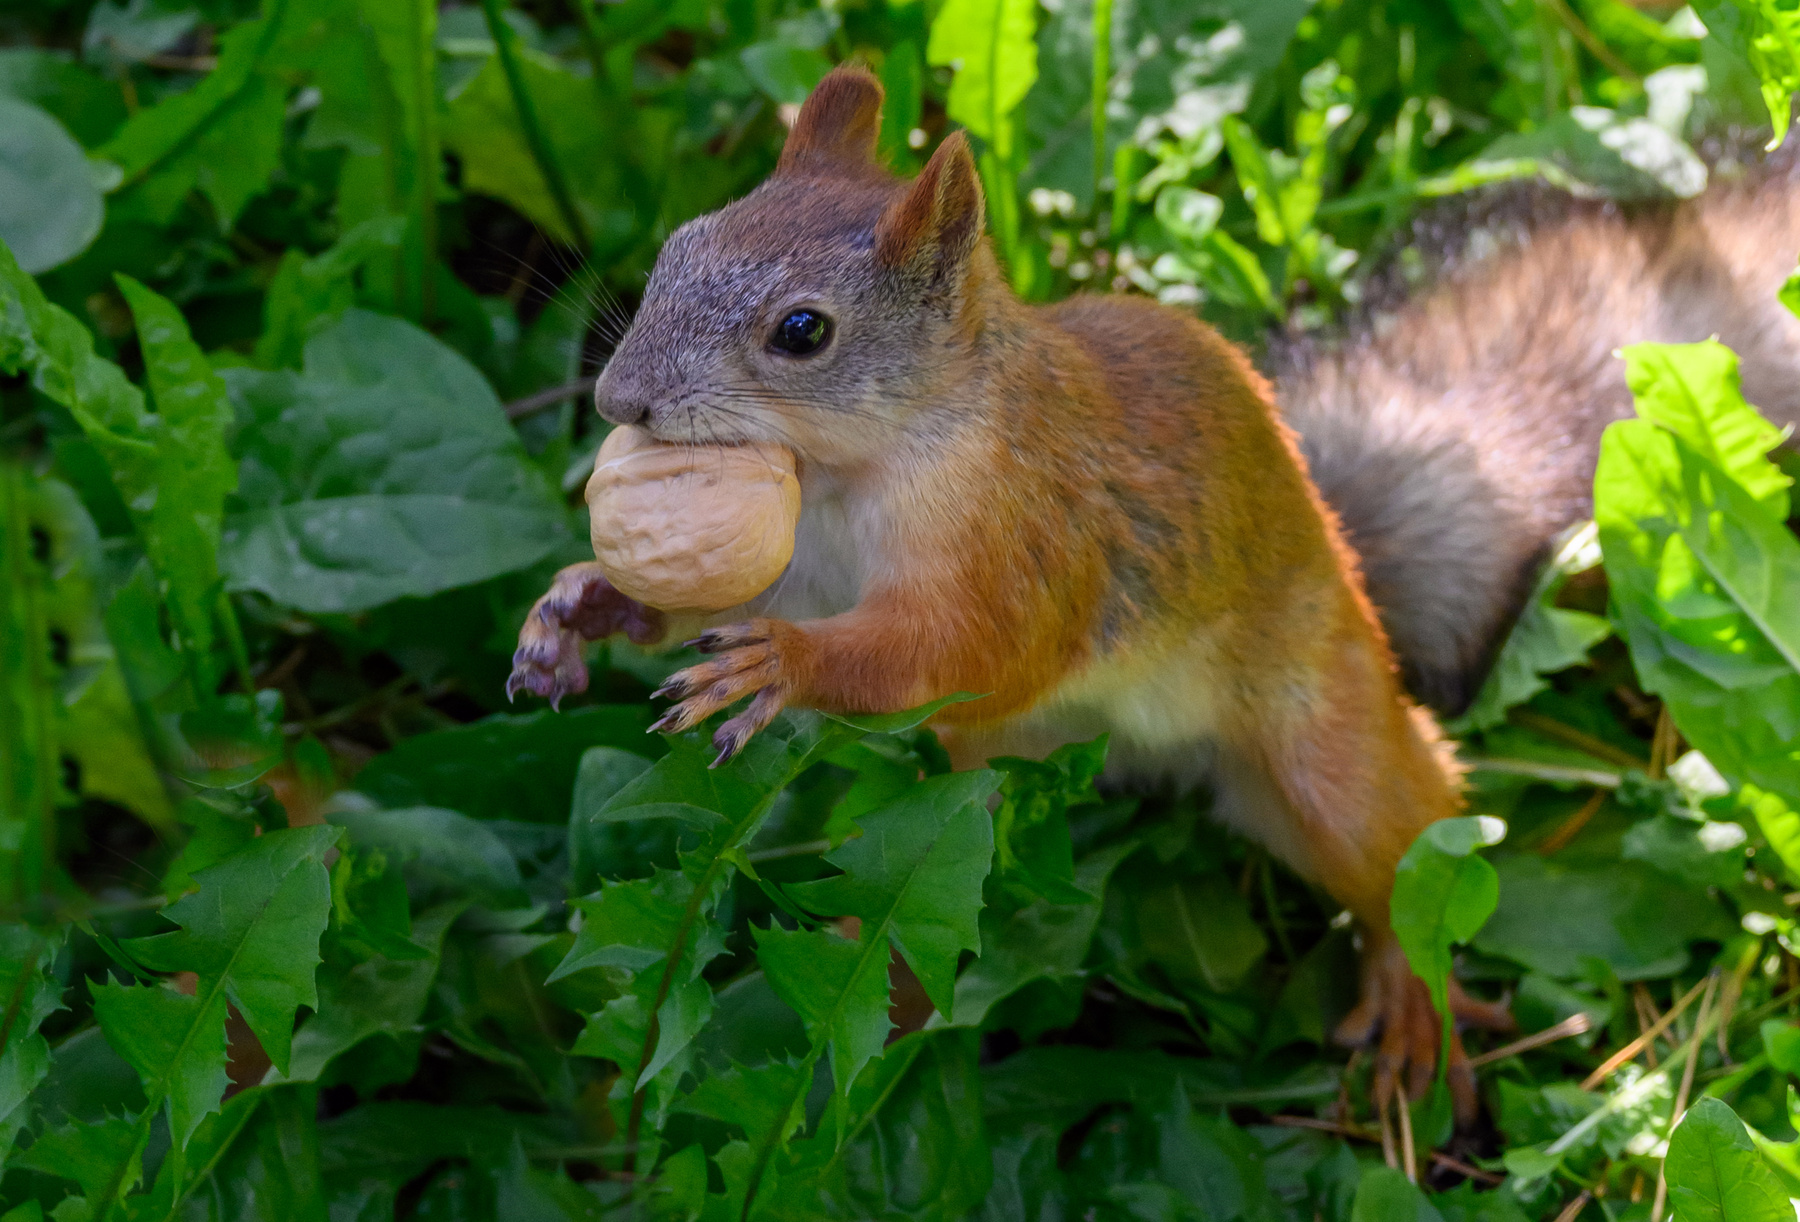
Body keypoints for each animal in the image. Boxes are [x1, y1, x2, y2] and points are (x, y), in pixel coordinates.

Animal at [509, 64, 1800, 1119]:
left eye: (802, 331)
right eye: (678, 248)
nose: (617, 398)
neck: (842, 475)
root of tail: (1351, 568)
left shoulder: (1031, 536)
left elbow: (969, 649)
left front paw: (785, 664)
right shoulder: (795, 558)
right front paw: (581, 608)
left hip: (1320, 737)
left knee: (1404, 836)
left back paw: (1410, 987)